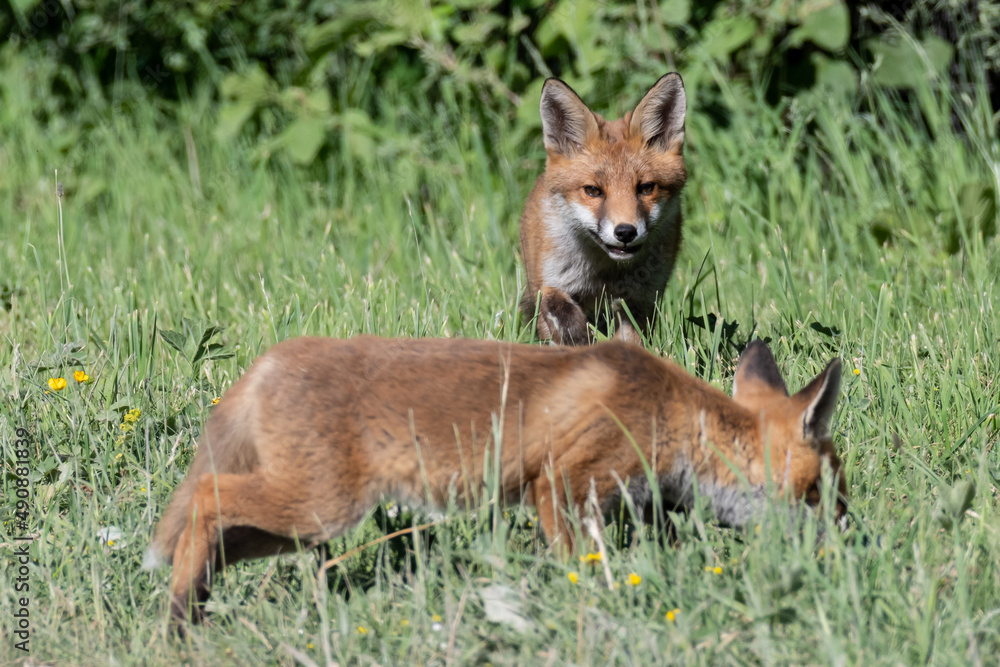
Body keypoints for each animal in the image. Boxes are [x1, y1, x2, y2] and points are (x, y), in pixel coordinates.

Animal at [146, 340, 844, 628]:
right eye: (823, 495)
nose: (849, 541)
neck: (669, 411)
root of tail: (267, 361)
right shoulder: (560, 483)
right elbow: (581, 567)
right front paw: (589, 612)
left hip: (298, 525)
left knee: (215, 536)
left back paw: (192, 611)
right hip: (319, 508)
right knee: (206, 498)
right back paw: (180, 620)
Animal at [516, 73, 688, 344]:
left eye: (646, 188)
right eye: (593, 190)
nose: (626, 232)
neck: (605, 274)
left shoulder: (642, 299)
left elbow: (631, 342)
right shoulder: (552, 283)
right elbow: (563, 316)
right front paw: (581, 340)